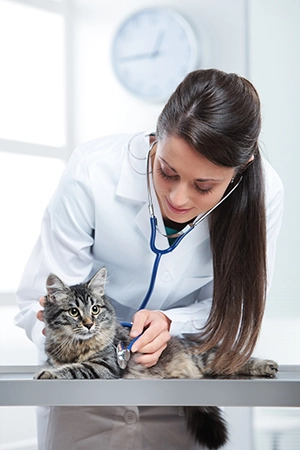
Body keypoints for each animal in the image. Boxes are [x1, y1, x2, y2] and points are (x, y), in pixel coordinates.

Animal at [35, 268, 278, 448]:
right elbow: (63, 365)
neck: (76, 344)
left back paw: (267, 365)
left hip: (208, 357)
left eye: (95, 309)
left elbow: (73, 368)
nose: (88, 324)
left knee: (236, 360)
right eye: (74, 312)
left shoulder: (104, 366)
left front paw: (48, 374)